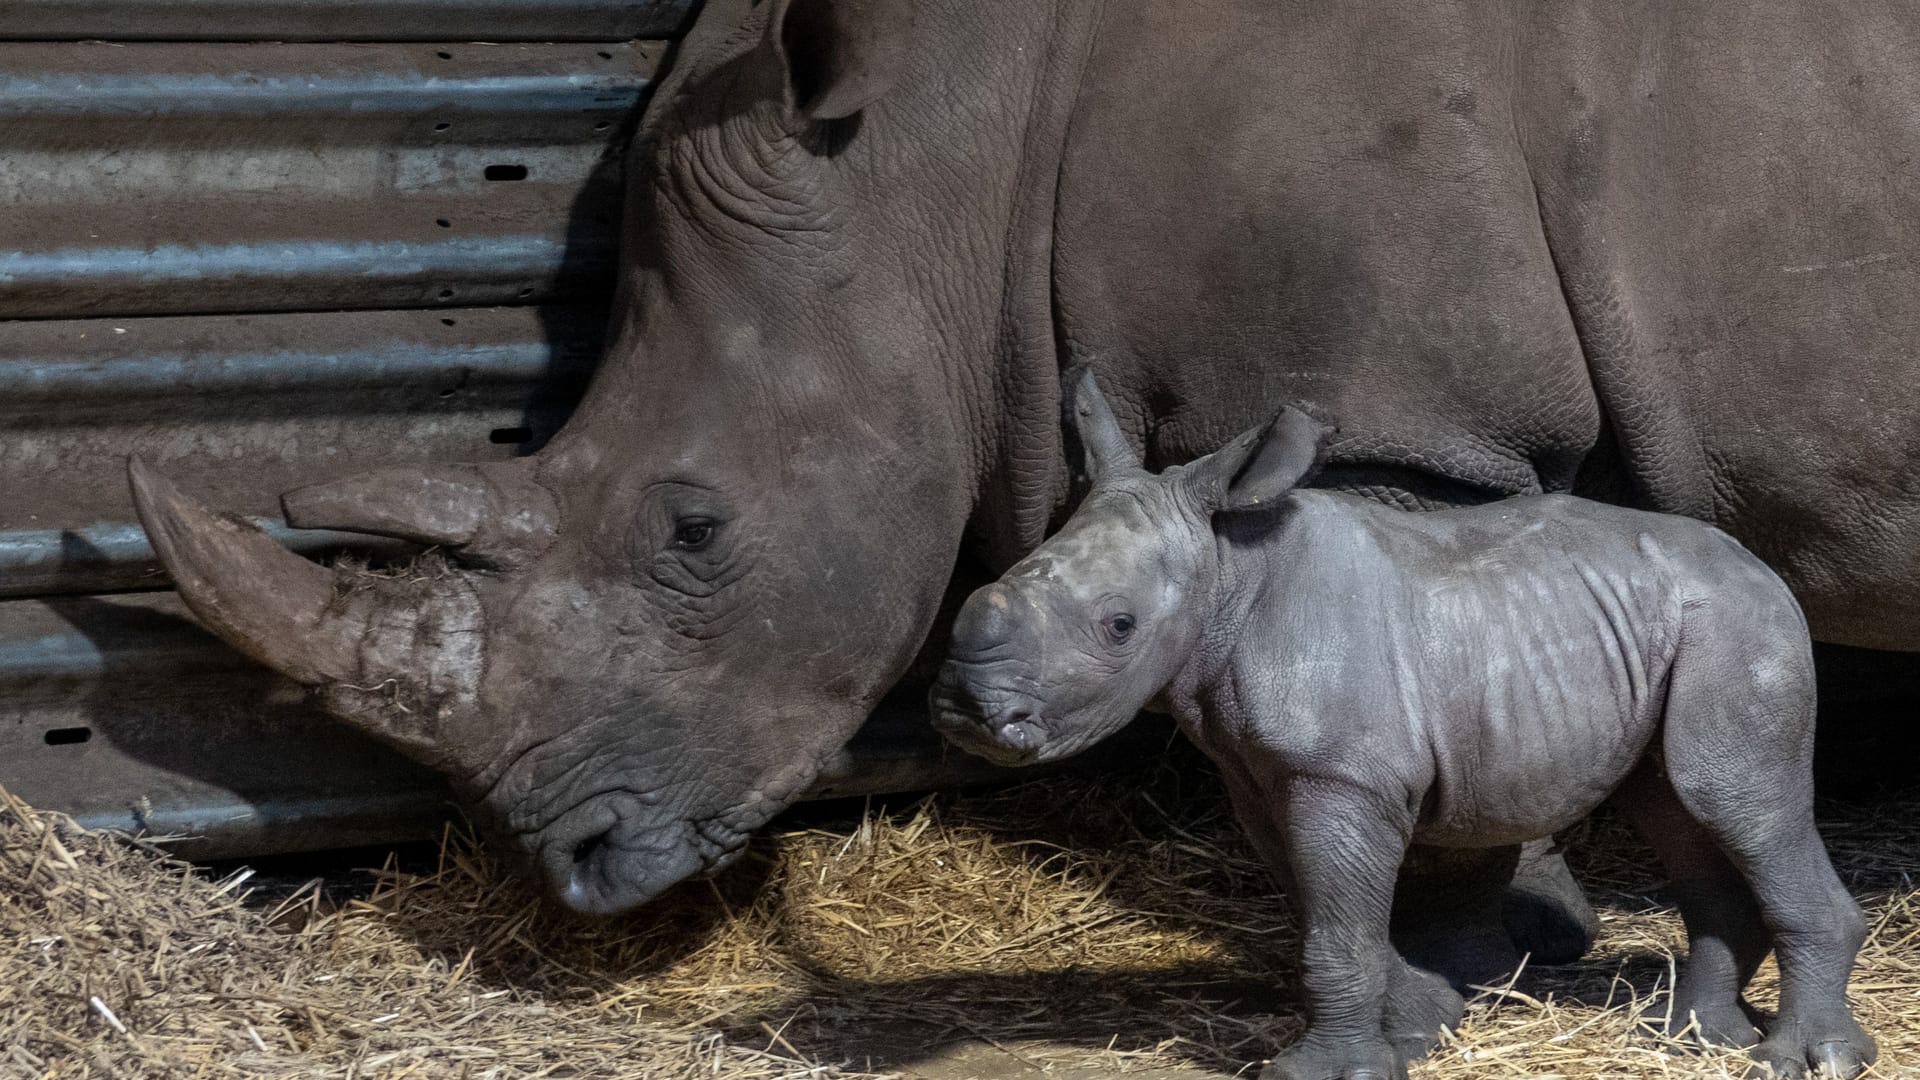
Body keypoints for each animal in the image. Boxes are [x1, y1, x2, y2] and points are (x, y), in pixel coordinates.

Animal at [929, 372, 1873, 1076]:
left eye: (1118, 627)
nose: (964, 711)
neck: (1228, 571)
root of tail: (1764, 567)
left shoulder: (1339, 774)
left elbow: (1338, 928)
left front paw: (1323, 1071)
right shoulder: (1265, 774)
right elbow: (1331, 916)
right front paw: (1424, 1029)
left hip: (1740, 625)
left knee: (1734, 795)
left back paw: (1805, 1059)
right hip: (1677, 623)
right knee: (1675, 805)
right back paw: (1693, 1041)